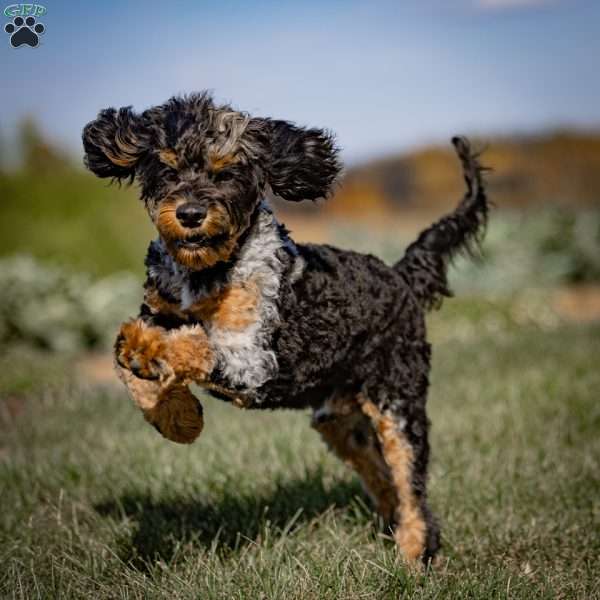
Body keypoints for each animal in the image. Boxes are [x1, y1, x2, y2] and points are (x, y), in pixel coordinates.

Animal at [82, 91, 490, 564]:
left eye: (225, 171)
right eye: (167, 168)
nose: (190, 213)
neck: (206, 274)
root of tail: (400, 275)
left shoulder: (252, 359)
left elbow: (191, 346)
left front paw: (150, 354)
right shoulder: (157, 309)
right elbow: (133, 371)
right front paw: (179, 417)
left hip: (397, 401)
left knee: (411, 486)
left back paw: (413, 553)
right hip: (340, 422)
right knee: (382, 475)